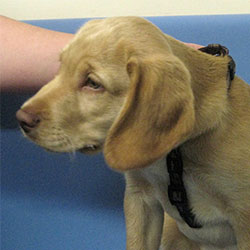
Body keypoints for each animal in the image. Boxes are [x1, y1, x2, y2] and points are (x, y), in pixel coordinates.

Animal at [16, 17, 250, 250]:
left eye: (93, 83)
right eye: (61, 67)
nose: (21, 118)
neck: (174, 156)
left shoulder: (244, 220)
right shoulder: (140, 199)